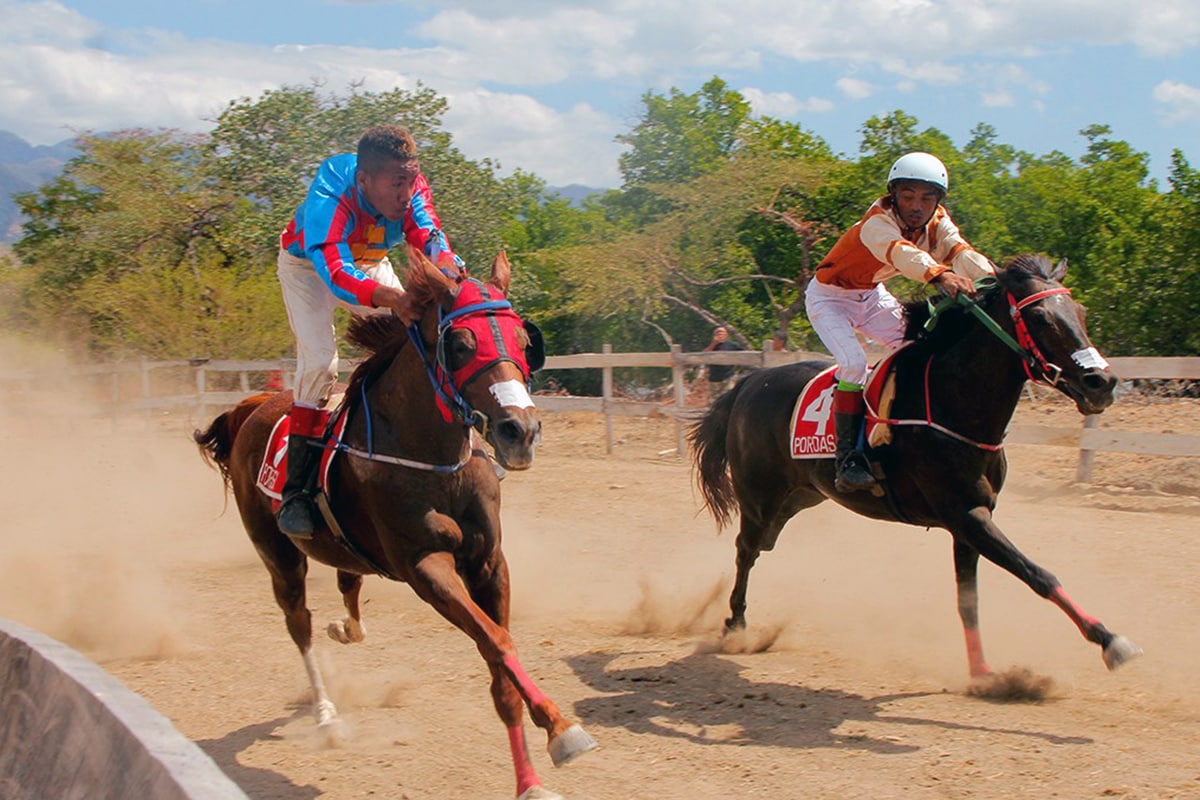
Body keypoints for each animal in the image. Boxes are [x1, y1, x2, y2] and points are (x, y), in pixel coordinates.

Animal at [194, 251, 596, 800]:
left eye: (522, 339)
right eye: (460, 343)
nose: (521, 431)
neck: (433, 457)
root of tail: (251, 408)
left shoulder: (489, 563)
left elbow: (499, 661)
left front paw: (531, 778)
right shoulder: (425, 567)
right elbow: (496, 641)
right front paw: (561, 729)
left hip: (345, 549)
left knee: (348, 584)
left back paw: (347, 629)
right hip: (278, 554)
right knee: (299, 623)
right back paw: (326, 714)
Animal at [689, 254, 1142, 681]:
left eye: (1080, 312)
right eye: (1040, 317)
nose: (1101, 382)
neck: (953, 402)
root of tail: (750, 382)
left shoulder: (970, 521)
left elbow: (968, 600)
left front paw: (982, 672)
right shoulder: (967, 516)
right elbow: (1038, 574)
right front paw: (1110, 640)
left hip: (798, 498)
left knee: (760, 547)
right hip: (759, 498)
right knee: (745, 550)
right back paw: (734, 623)